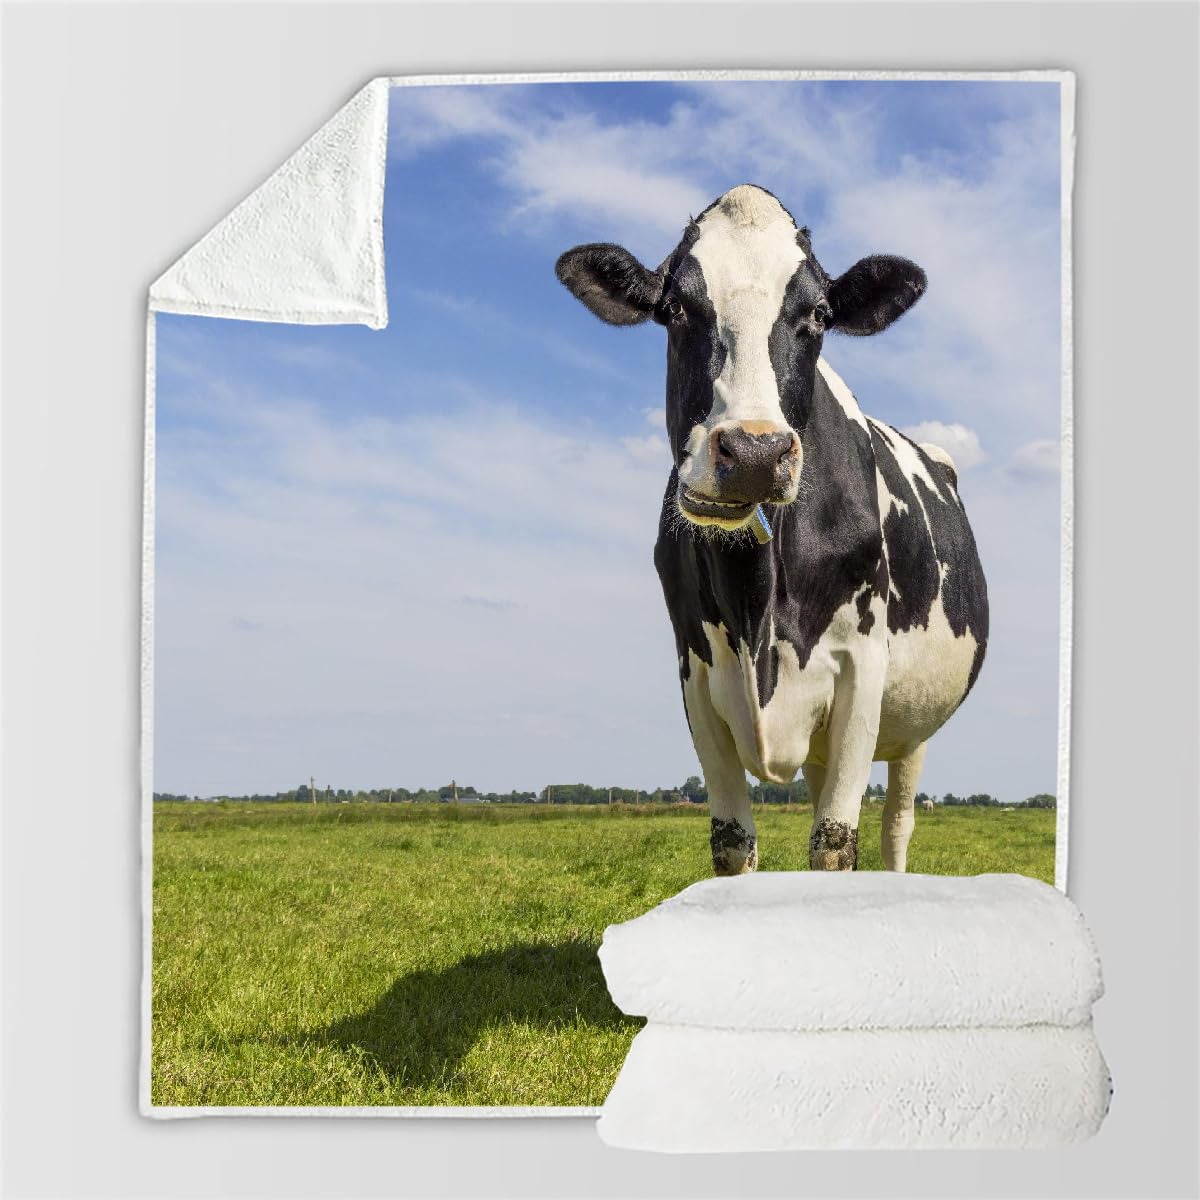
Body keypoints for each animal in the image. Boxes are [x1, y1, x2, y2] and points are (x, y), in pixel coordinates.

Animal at [555, 184, 988, 874]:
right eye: (676, 308)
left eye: (818, 314)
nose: (755, 452)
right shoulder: (696, 672)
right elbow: (733, 843)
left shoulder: (862, 670)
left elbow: (835, 843)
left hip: (913, 727)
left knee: (896, 824)